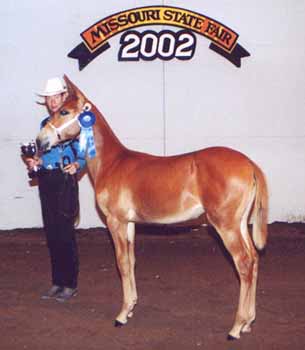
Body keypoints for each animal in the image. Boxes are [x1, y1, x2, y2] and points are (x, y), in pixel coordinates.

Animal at [36, 74, 268, 340]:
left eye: (64, 111)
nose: (40, 140)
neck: (112, 163)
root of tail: (249, 164)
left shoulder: (115, 222)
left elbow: (121, 263)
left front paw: (121, 315)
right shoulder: (129, 224)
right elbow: (131, 261)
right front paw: (130, 308)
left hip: (225, 225)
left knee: (244, 263)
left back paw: (236, 327)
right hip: (239, 224)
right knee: (254, 259)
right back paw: (249, 322)